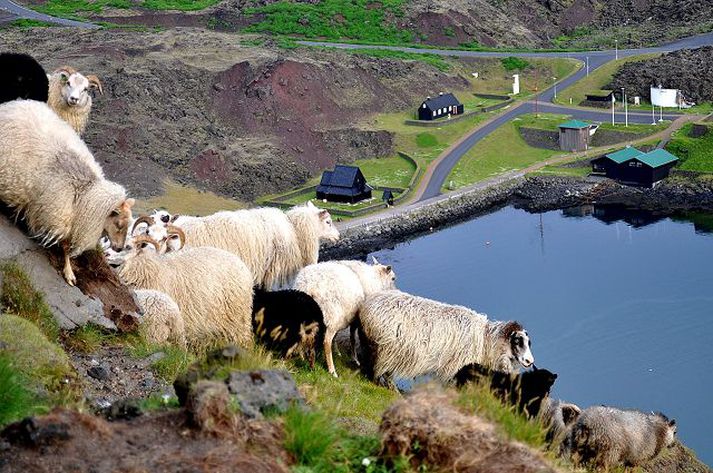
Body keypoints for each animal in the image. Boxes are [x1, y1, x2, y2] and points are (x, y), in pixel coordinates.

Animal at [0, 99, 134, 284]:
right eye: (119, 224)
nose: (120, 248)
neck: (85, 194)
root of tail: (15, 104)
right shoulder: (58, 216)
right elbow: (65, 247)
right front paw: (69, 272)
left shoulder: (70, 222)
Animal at [358, 292, 532, 388]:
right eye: (517, 341)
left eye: (529, 342)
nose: (530, 361)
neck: (485, 341)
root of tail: (366, 306)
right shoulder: (455, 369)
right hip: (386, 351)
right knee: (378, 372)